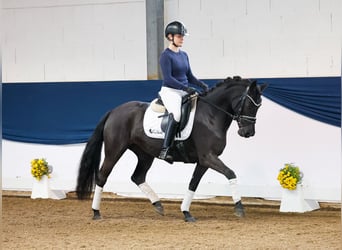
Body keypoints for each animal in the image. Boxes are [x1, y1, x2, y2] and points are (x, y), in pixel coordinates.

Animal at [75, 77, 268, 222]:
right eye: (250, 105)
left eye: (259, 107)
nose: (248, 133)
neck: (211, 115)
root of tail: (114, 110)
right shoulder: (208, 157)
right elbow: (231, 173)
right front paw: (239, 208)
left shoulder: (204, 161)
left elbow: (193, 183)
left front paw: (186, 212)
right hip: (115, 150)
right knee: (102, 176)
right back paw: (96, 212)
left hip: (145, 154)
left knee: (138, 176)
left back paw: (158, 205)